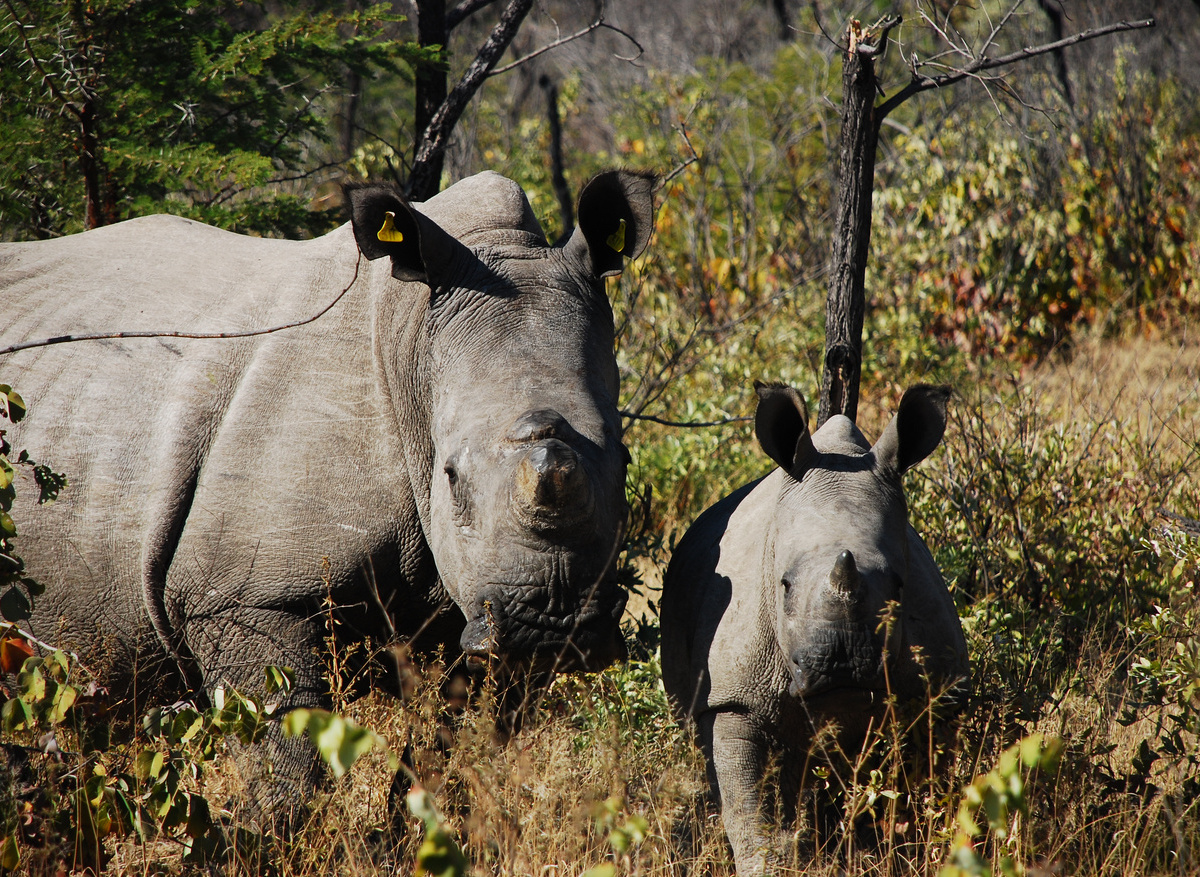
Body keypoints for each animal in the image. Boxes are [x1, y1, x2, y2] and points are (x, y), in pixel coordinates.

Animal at [0, 169, 654, 819]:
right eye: (450, 477)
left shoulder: (481, 619)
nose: (553, 626)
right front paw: (267, 837)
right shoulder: (241, 596)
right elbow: (286, 758)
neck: (412, 342)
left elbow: (453, 759)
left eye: (625, 463)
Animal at [660, 382, 969, 875]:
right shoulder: (733, 696)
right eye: (783, 586)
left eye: (899, 586)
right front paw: (767, 866)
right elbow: (749, 809)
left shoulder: (938, 692)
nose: (841, 663)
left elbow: (920, 791)